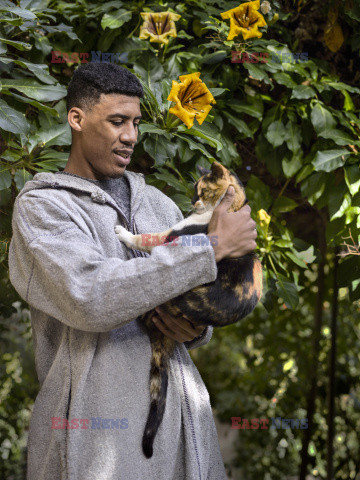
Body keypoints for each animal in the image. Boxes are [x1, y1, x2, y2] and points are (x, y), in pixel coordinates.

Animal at [114, 160, 262, 458]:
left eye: (201, 189)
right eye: (193, 189)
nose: (192, 201)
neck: (231, 206)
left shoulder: (173, 236)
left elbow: (146, 238)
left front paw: (123, 233)